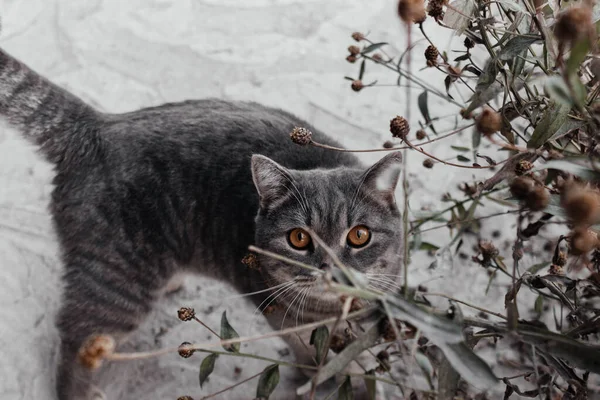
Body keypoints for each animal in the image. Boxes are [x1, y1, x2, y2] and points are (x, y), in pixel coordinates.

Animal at [1, 44, 404, 400]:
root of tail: (100, 126)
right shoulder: (280, 314)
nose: (332, 269)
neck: (334, 312)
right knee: (75, 341)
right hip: (116, 285)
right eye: (299, 239)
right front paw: (326, 375)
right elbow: (315, 354)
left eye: (359, 236)